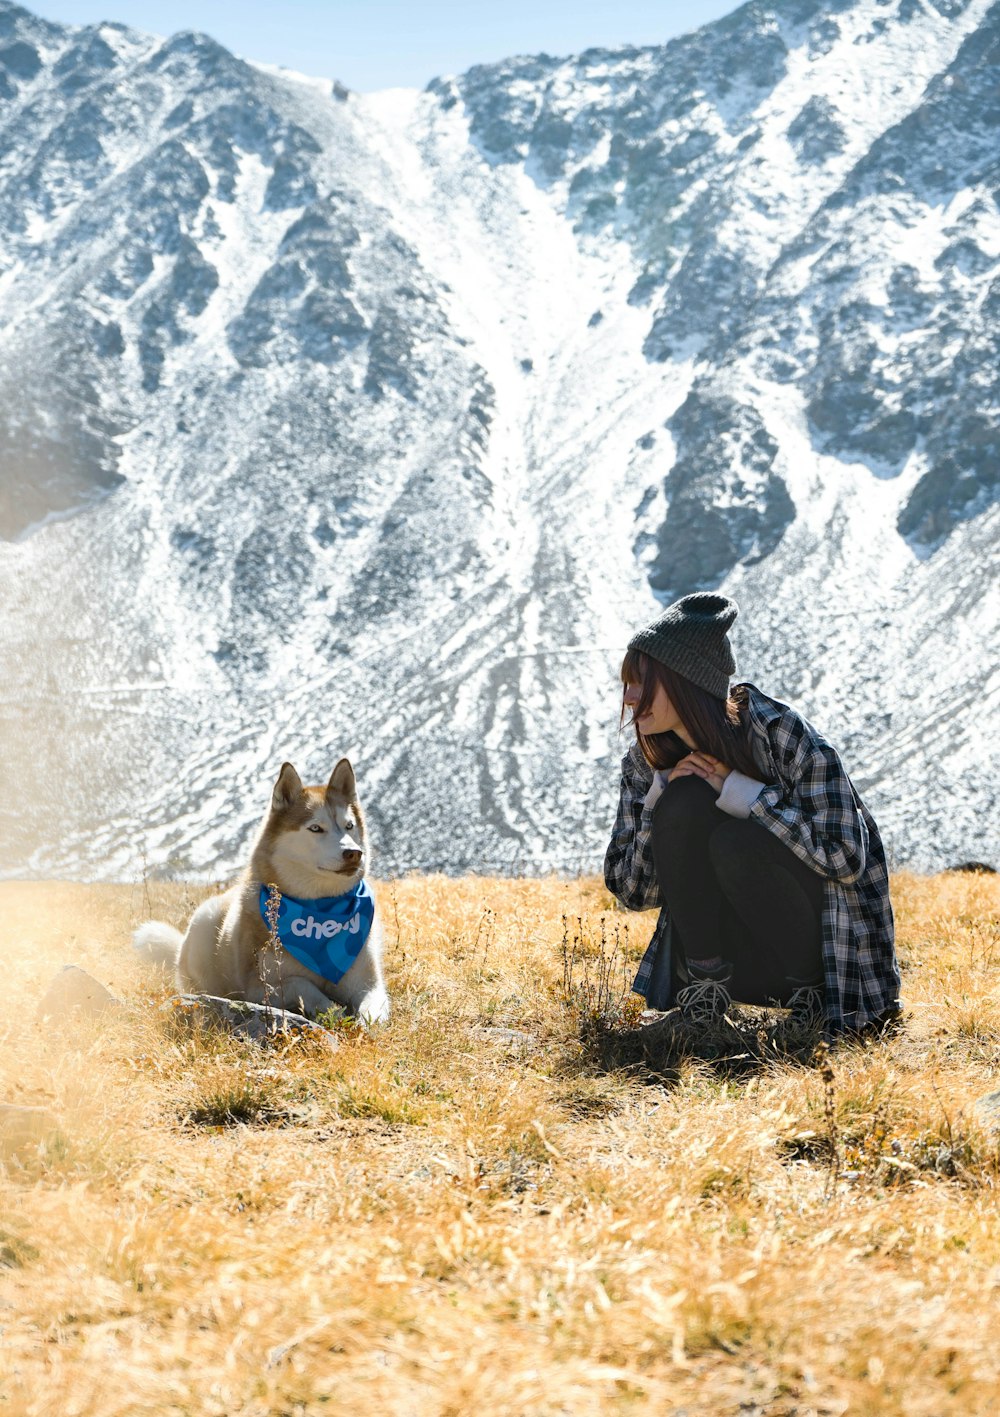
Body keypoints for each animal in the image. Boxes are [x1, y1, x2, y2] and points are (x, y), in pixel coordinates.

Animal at [135, 759, 390, 1025]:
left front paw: (366, 1021)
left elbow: (375, 1003)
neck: (321, 909)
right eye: (316, 828)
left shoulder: (368, 981)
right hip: (205, 922)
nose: (354, 853)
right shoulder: (258, 989)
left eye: (349, 826)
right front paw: (335, 1012)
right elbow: (303, 985)